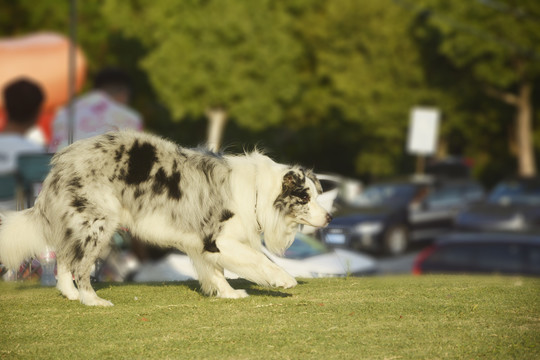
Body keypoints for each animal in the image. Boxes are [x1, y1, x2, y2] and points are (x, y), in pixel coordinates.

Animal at [0, 132, 332, 306]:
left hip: (84, 225)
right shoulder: (219, 238)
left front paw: (227, 293)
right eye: (305, 197)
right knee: (80, 267)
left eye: (317, 195)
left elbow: (215, 273)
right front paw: (283, 279)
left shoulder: (202, 244)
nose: (329, 217)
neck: (258, 193)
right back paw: (91, 300)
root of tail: (61, 163)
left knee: (65, 258)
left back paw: (70, 294)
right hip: (98, 225)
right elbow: (260, 260)